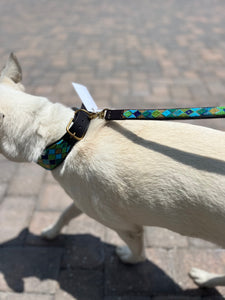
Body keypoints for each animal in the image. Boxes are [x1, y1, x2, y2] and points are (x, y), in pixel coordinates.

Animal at [0, 54, 225, 288]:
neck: (66, 137)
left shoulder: (127, 227)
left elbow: (139, 254)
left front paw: (128, 258)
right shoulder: (85, 200)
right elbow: (65, 214)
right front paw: (51, 232)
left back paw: (206, 279)